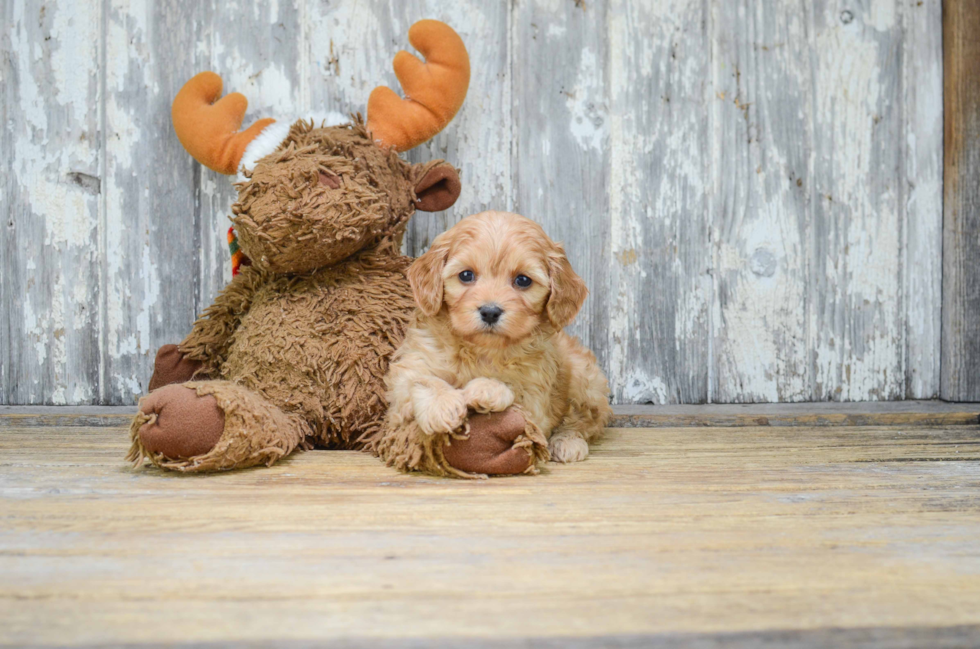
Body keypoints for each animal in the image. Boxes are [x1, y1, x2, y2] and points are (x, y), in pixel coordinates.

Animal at [384, 210, 608, 474]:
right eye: (466, 275)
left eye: (523, 280)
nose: (490, 311)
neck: (481, 349)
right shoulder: (410, 369)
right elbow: (421, 380)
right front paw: (442, 405)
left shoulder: (536, 396)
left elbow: (515, 392)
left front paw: (485, 388)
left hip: (586, 380)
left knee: (585, 421)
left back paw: (568, 442)